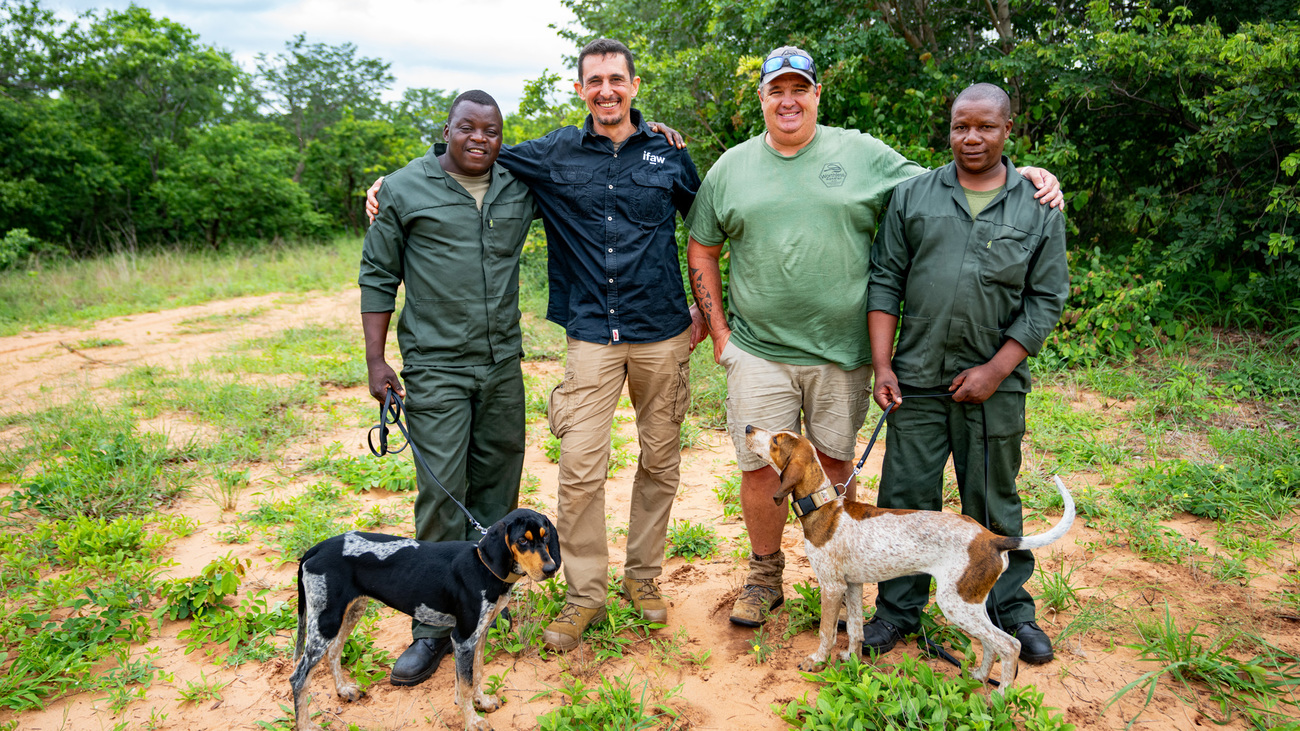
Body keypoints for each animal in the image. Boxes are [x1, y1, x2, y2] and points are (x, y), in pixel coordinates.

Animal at [748, 424, 1071, 686]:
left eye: (776, 441)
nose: (749, 428)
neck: (824, 506)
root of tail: (992, 539)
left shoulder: (831, 586)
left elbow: (827, 632)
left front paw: (817, 661)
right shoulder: (852, 585)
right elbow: (854, 629)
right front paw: (853, 661)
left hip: (955, 604)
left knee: (1010, 646)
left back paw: (1001, 699)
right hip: (971, 603)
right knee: (991, 643)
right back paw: (979, 676)